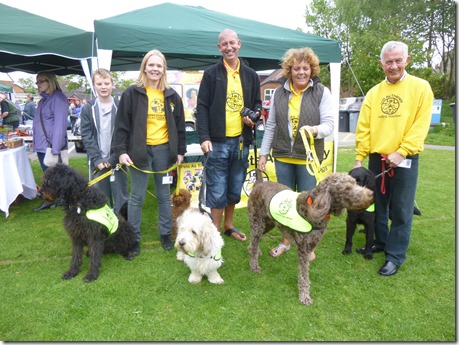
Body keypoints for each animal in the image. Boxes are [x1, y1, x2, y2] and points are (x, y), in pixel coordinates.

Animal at [248, 169, 374, 304]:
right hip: (258, 221)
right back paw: (254, 265)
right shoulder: (303, 250)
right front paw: (304, 296)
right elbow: (303, 276)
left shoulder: (310, 247)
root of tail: (259, 183)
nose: (371, 193)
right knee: (254, 240)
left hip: (268, 223)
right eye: (347, 188)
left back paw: (255, 251)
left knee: (255, 240)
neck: (315, 209)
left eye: (356, 183)